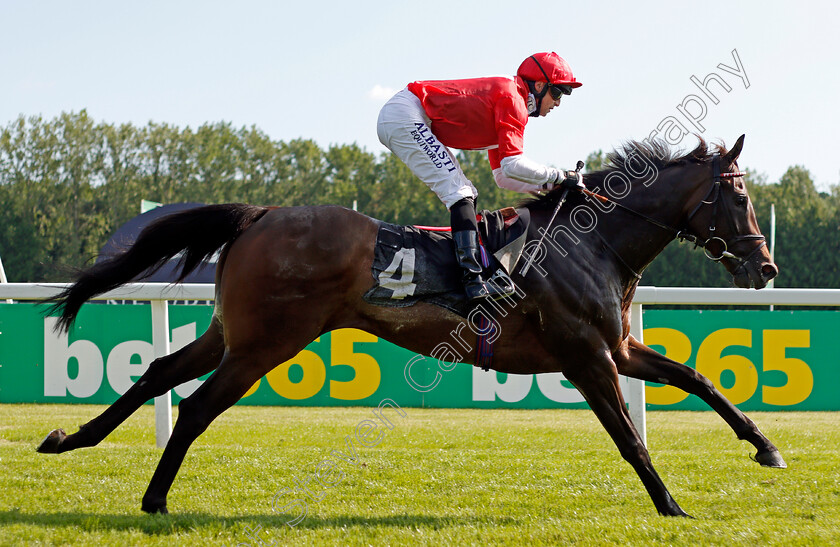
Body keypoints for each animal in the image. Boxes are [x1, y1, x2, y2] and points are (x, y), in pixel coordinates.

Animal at [37, 134, 788, 520]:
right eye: (738, 195)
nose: (766, 266)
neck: (590, 241)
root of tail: (261, 213)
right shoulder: (585, 357)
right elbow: (629, 437)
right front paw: (671, 504)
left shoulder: (619, 346)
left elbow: (696, 378)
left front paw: (765, 447)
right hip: (269, 342)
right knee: (194, 406)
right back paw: (155, 496)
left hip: (235, 332)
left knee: (161, 371)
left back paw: (70, 438)